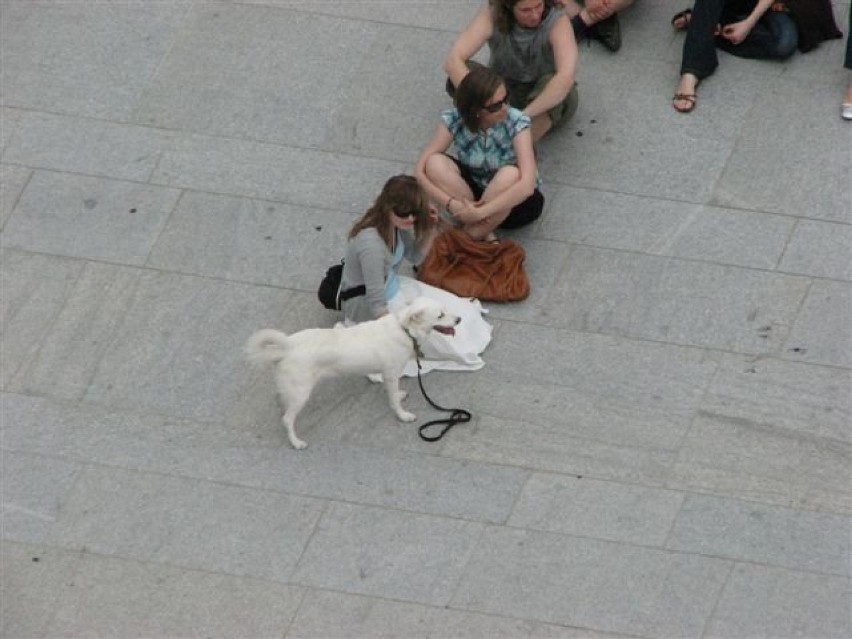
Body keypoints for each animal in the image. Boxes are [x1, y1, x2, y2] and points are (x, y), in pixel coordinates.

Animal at [246, 296, 460, 450]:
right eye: (440, 315)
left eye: (446, 310)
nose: (459, 319)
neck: (404, 328)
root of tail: (288, 345)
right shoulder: (392, 374)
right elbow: (393, 400)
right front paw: (402, 414)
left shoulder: (385, 373)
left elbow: (384, 384)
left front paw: (382, 384)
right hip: (301, 393)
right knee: (288, 419)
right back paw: (296, 442)